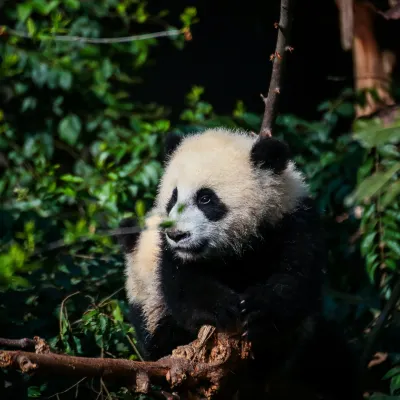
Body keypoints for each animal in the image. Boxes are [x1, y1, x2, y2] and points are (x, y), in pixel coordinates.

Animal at [119, 128, 362, 400]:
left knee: (332, 363)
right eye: (173, 197)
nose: (178, 235)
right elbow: (184, 289)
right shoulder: (170, 260)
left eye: (205, 198)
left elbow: (297, 280)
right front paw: (221, 308)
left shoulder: (292, 222)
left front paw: (259, 310)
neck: (235, 248)